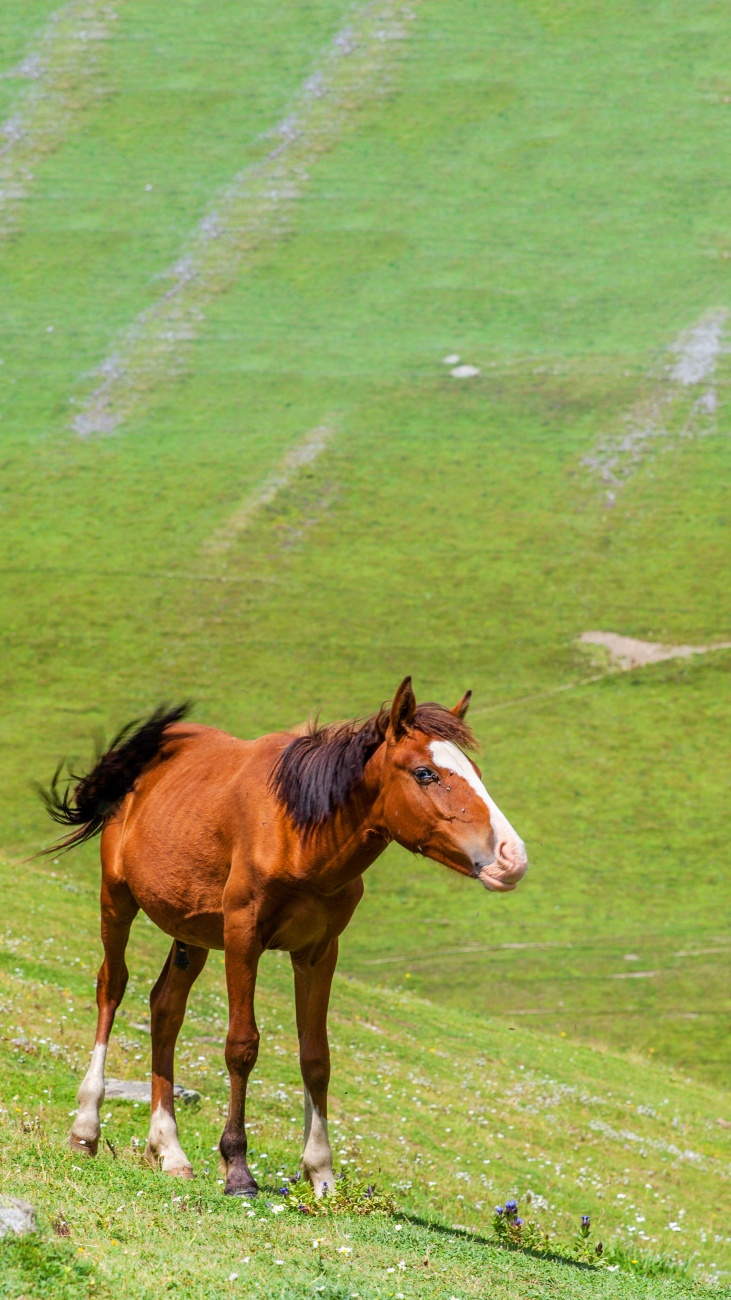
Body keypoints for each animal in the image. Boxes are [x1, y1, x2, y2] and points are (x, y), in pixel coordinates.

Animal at [41, 681, 522, 1196]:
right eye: (425, 772)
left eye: (475, 772)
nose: (512, 856)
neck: (301, 832)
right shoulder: (242, 937)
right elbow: (241, 1046)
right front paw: (237, 1168)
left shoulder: (318, 953)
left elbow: (316, 1058)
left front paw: (321, 1173)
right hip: (117, 899)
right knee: (111, 987)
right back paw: (86, 1128)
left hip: (192, 931)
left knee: (165, 1008)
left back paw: (168, 1149)